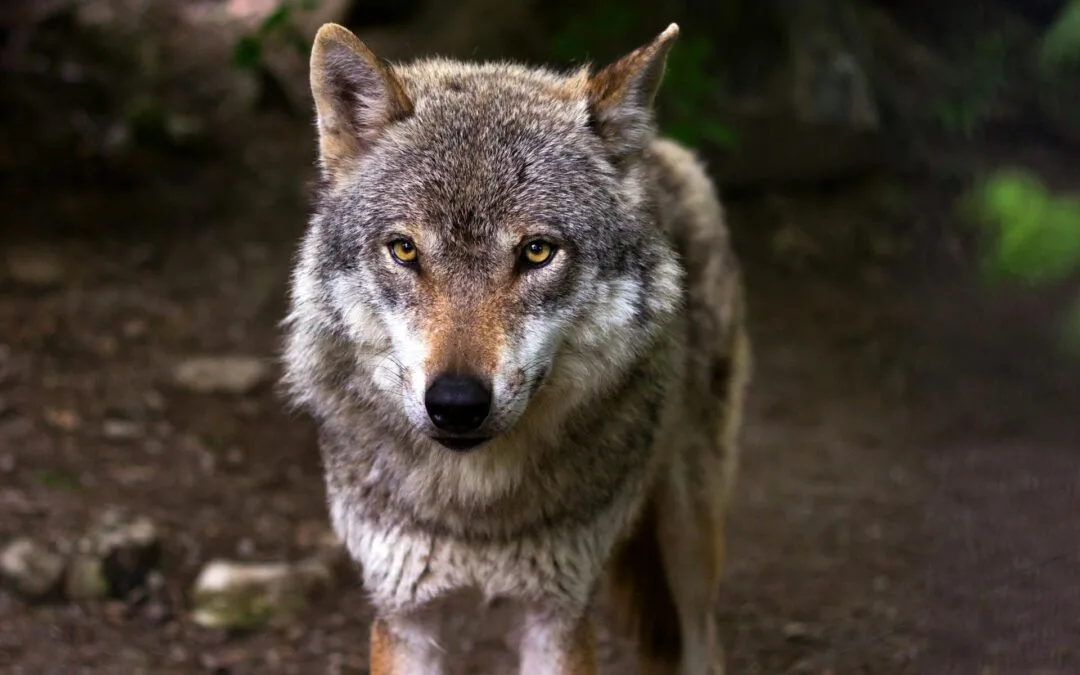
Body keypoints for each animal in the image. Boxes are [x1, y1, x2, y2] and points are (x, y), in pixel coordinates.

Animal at [282, 20, 752, 675]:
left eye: (536, 252)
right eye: (404, 250)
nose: (455, 403)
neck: (476, 510)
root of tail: (660, 149)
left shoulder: (557, 615)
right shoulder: (404, 615)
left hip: (691, 539)